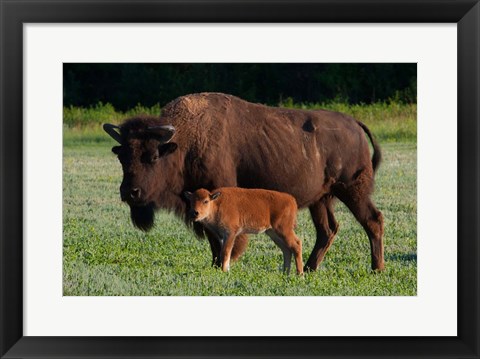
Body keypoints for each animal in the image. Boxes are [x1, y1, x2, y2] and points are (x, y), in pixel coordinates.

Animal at [105, 93, 386, 272]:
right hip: (321, 199)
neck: (184, 142)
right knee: (327, 230)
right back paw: (309, 268)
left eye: (152, 156)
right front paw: (215, 265)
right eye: (122, 156)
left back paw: (377, 268)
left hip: (353, 190)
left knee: (373, 220)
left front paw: (224, 264)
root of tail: (355, 125)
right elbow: (213, 237)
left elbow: (223, 240)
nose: (130, 192)